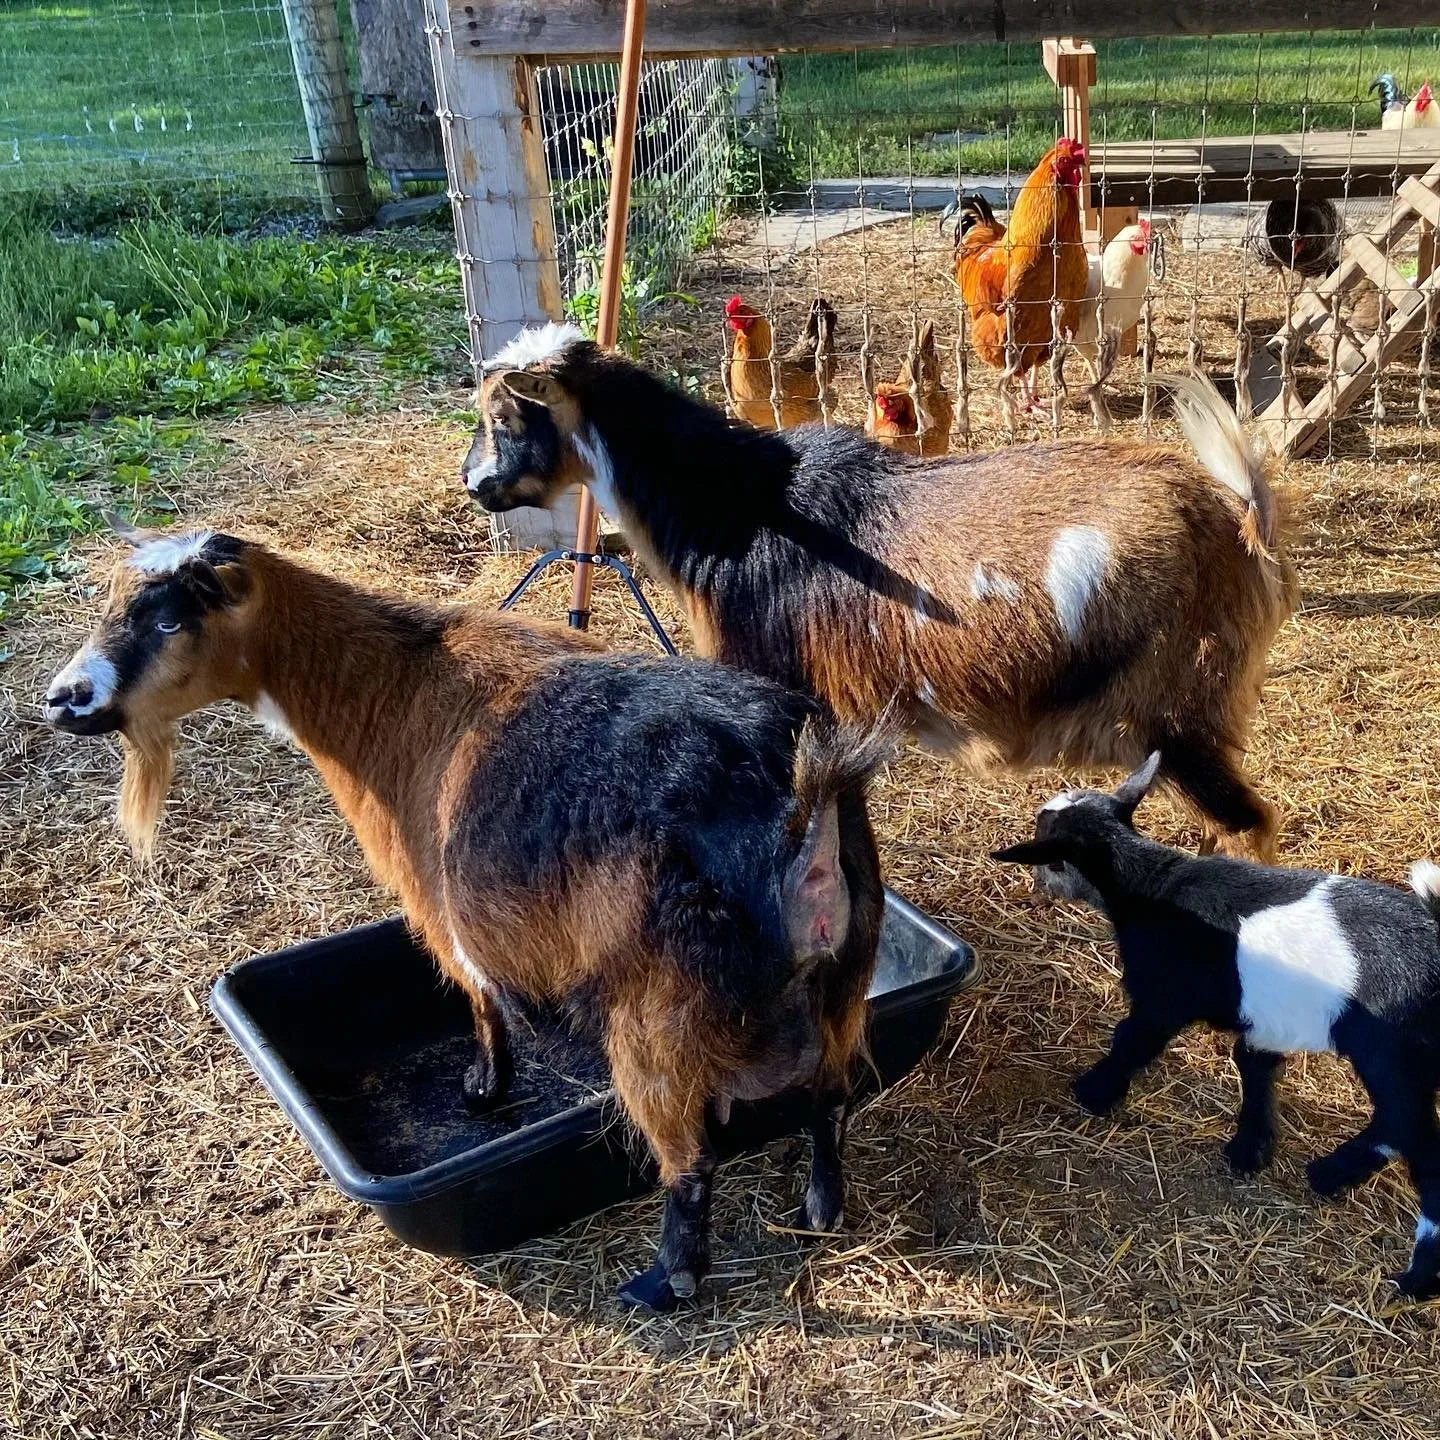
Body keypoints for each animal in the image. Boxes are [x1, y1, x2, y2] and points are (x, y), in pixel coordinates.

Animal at [43, 519, 890, 1311]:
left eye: (168, 620)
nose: (63, 699)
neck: (393, 686)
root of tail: (800, 811)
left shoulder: (437, 905)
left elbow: (478, 995)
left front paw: (484, 1086)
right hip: (846, 973)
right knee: (832, 1093)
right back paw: (820, 1208)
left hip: (659, 1014)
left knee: (691, 1161)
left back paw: (664, 1282)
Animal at [460, 325, 1296, 858]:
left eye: (503, 415)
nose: (474, 486)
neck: (739, 506)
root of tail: (1234, 516)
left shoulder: (771, 684)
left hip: (1178, 710)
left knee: (1253, 825)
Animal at [992, 754, 1440, 1300]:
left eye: (1045, 848)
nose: (1038, 886)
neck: (1149, 885)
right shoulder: (1267, 1014)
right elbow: (1254, 1065)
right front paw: (1252, 1147)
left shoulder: (1163, 994)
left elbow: (1132, 1040)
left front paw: (1094, 1092)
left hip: (1391, 1054)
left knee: (1409, 1135)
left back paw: (1406, 1263)